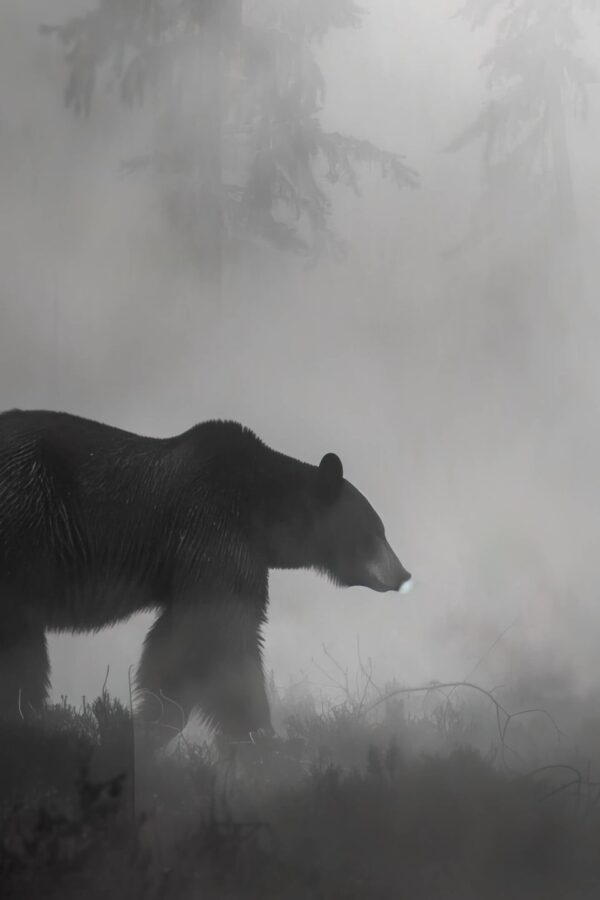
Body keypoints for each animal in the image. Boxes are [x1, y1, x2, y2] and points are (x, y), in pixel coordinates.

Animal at [0, 409, 411, 739]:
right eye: (376, 530)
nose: (403, 574)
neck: (261, 511)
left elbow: (182, 647)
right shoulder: (213, 533)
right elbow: (219, 639)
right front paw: (256, 742)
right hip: (24, 522)